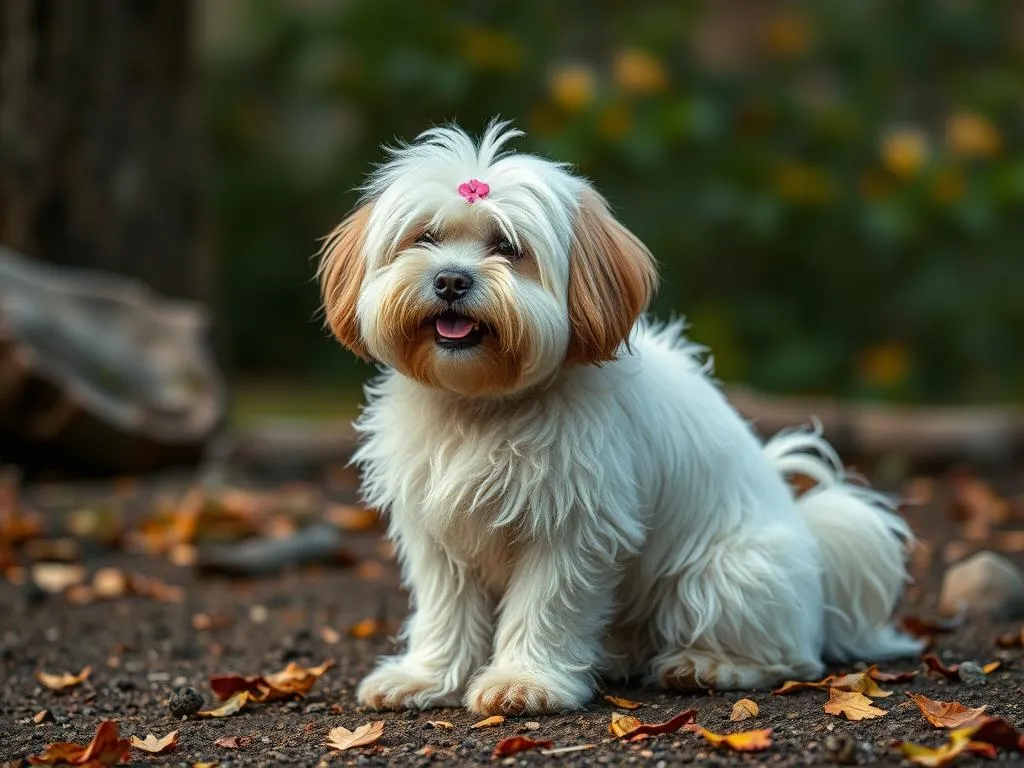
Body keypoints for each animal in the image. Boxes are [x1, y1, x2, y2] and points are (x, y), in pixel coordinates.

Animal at [317, 118, 921, 716]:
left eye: (508, 248)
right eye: (425, 238)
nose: (450, 280)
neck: (484, 403)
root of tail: (816, 559)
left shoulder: (572, 529)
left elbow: (546, 605)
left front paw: (524, 681)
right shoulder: (438, 536)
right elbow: (446, 610)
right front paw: (426, 677)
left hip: (722, 577)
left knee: (790, 659)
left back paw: (706, 665)